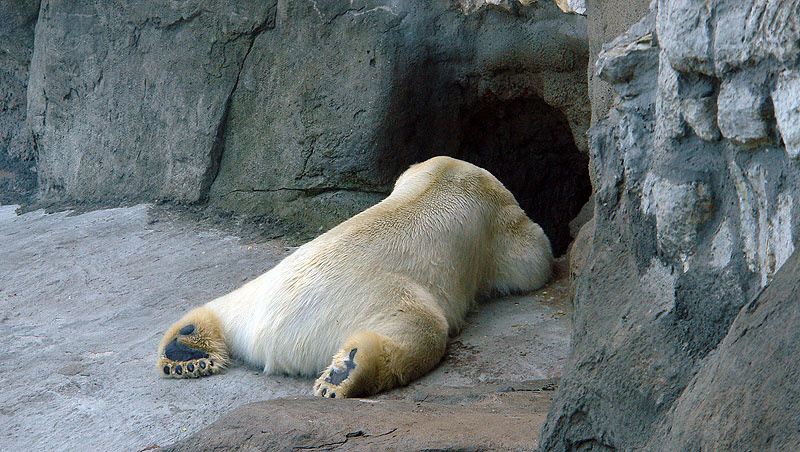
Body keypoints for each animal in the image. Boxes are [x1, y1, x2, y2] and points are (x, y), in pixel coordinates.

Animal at [157, 156, 553, 398]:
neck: (443, 175)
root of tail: (270, 334)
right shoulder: (497, 214)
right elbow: (532, 258)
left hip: (256, 291)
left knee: (222, 306)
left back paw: (185, 348)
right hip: (381, 297)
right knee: (423, 328)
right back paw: (346, 372)